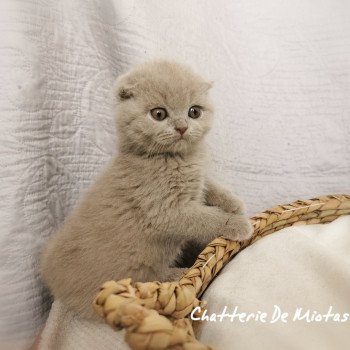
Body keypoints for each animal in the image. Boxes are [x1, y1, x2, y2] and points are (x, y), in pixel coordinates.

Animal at [40, 60, 252, 320]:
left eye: (194, 111)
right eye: (159, 114)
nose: (182, 127)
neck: (175, 158)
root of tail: (51, 277)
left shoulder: (198, 179)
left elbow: (209, 185)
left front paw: (233, 203)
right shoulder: (165, 211)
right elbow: (205, 218)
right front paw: (238, 224)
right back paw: (179, 275)